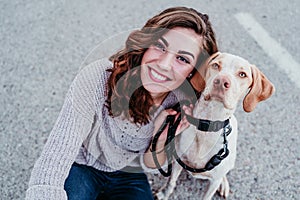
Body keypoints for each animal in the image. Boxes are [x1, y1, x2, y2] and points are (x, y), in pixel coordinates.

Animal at [156, 52, 276, 199]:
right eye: (215, 65)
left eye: (242, 74)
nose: (221, 82)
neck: (207, 125)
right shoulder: (178, 161)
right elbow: (171, 182)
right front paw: (164, 193)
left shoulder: (214, 181)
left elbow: (207, 195)